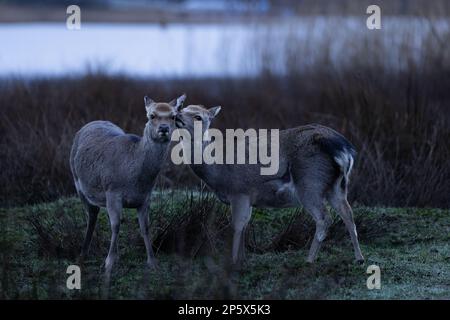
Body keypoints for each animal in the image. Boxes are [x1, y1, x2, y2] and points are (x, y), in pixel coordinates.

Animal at [68, 94, 185, 276]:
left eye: (173, 116)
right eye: (151, 115)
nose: (164, 128)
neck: (137, 180)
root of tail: (92, 122)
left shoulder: (145, 198)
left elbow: (145, 227)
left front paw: (153, 262)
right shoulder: (112, 192)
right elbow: (116, 225)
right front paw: (108, 263)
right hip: (77, 182)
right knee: (92, 214)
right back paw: (82, 254)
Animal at [174, 104, 364, 264]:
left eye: (198, 116)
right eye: (184, 108)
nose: (177, 115)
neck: (216, 171)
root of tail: (344, 149)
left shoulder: (239, 191)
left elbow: (236, 226)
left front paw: (233, 261)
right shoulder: (249, 198)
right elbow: (245, 225)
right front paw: (242, 259)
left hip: (310, 182)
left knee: (324, 218)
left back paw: (309, 260)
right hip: (337, 186)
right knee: (347, 213)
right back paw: (359, 258)